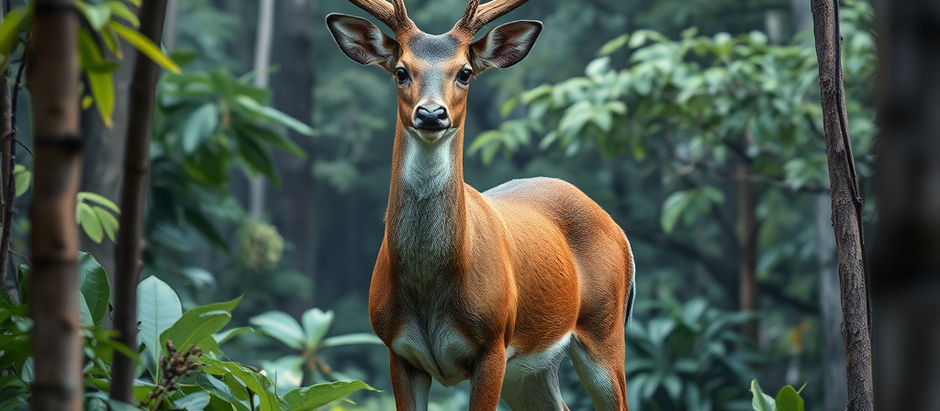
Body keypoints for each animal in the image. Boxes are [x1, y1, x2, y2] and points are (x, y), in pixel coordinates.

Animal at [325, 1, 635, 409]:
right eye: (401, 71)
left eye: (465, 72)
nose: (431, 113)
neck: (431, 286)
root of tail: (619, 231)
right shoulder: (397, 349)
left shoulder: (493, 343)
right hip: (531, 369)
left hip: (605, 329)